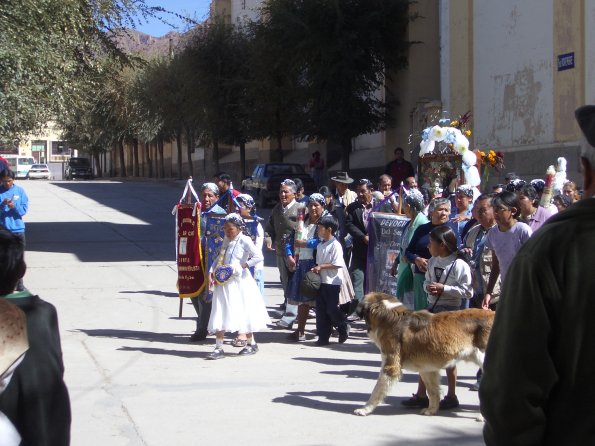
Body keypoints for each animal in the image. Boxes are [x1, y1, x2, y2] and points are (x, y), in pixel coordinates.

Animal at [352, 292, 496, 414]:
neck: (389, 315)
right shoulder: (427, 368)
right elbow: (433, 390)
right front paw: (431, 410)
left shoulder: (391, 366)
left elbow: (377, 390)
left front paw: (365, 409)